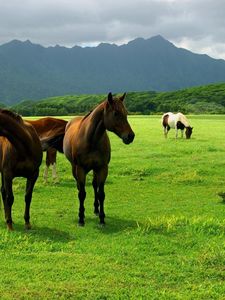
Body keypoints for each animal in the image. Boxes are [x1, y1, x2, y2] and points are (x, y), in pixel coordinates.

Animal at [62, 92, 134, 226]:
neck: (91, 139)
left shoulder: (102, 168)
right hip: (74, 168)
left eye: (126, 113)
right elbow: (82, 193)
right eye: (116, 113)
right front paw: (81, 218)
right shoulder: (80, 169)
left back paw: (96, 209)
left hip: (95, 169)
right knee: (80, 187)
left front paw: (102, 218)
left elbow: (101, 194)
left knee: (95, 185)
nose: (130, 136)